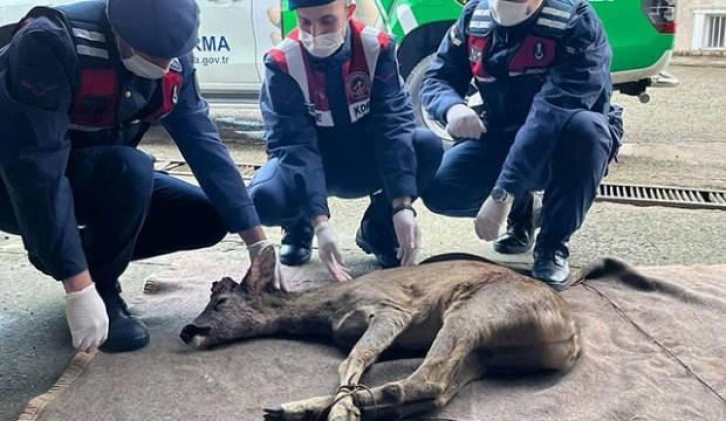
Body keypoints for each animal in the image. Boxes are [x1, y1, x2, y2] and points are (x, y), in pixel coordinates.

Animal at [178, 244, 592, 418]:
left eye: (221, 301)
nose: (187, 329)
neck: (326, 312)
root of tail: (571, 338)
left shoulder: (391, 308)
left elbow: (352, 359)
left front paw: (343, 411)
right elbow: (357, 360)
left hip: (476, 311)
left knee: (427, 380)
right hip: (486, 354)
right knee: (439, 389)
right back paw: (294, 409)